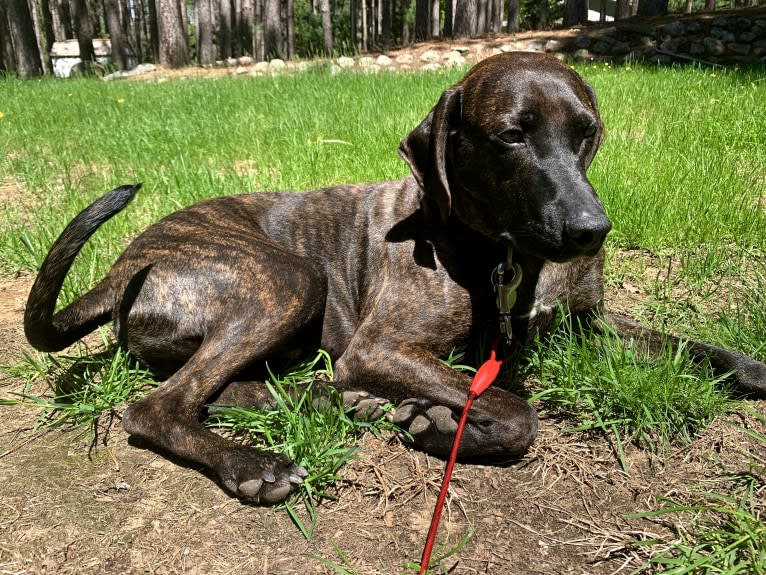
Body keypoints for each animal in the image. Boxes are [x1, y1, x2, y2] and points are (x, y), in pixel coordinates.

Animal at [24, 53, 766, 504]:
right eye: (511, 136)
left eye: (586, 131)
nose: (592, 229)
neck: (506, 256)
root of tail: (122, 264)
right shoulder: (382, 348)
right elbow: (512, 408)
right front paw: (437, 426)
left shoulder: (590, 322)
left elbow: (694, 346)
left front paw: (751, 367)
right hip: (291, 279)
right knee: (162, 404)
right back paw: (259, 463)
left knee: (226, 388)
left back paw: (336, 404)